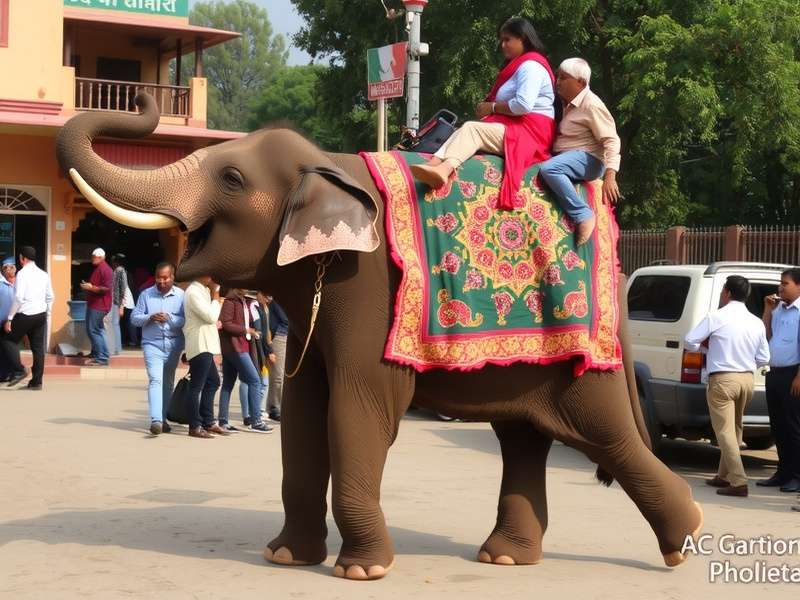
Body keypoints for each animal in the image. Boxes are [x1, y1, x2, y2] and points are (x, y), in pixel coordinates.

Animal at [56, 94, 702, 581]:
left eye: (233, 179)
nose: (138, 102)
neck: (326, 162)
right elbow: (304, 414)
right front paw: (285, 556)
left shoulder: (365, 285)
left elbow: (358, 408)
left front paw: (361, 571)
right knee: (523, 436)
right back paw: (506, 557)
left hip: (584, 355)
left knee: (605, 433)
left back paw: (685, 538)